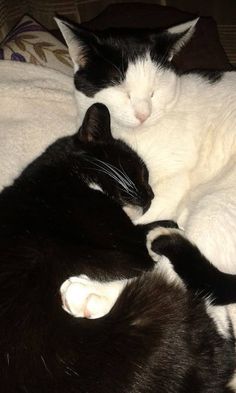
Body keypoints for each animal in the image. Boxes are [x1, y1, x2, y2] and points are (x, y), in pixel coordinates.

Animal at [1, 102, 236, 390]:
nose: (151, 195)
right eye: (142, 172)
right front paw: (167, 225)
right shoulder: (125, 239)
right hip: (155, 310)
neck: (67, 175)